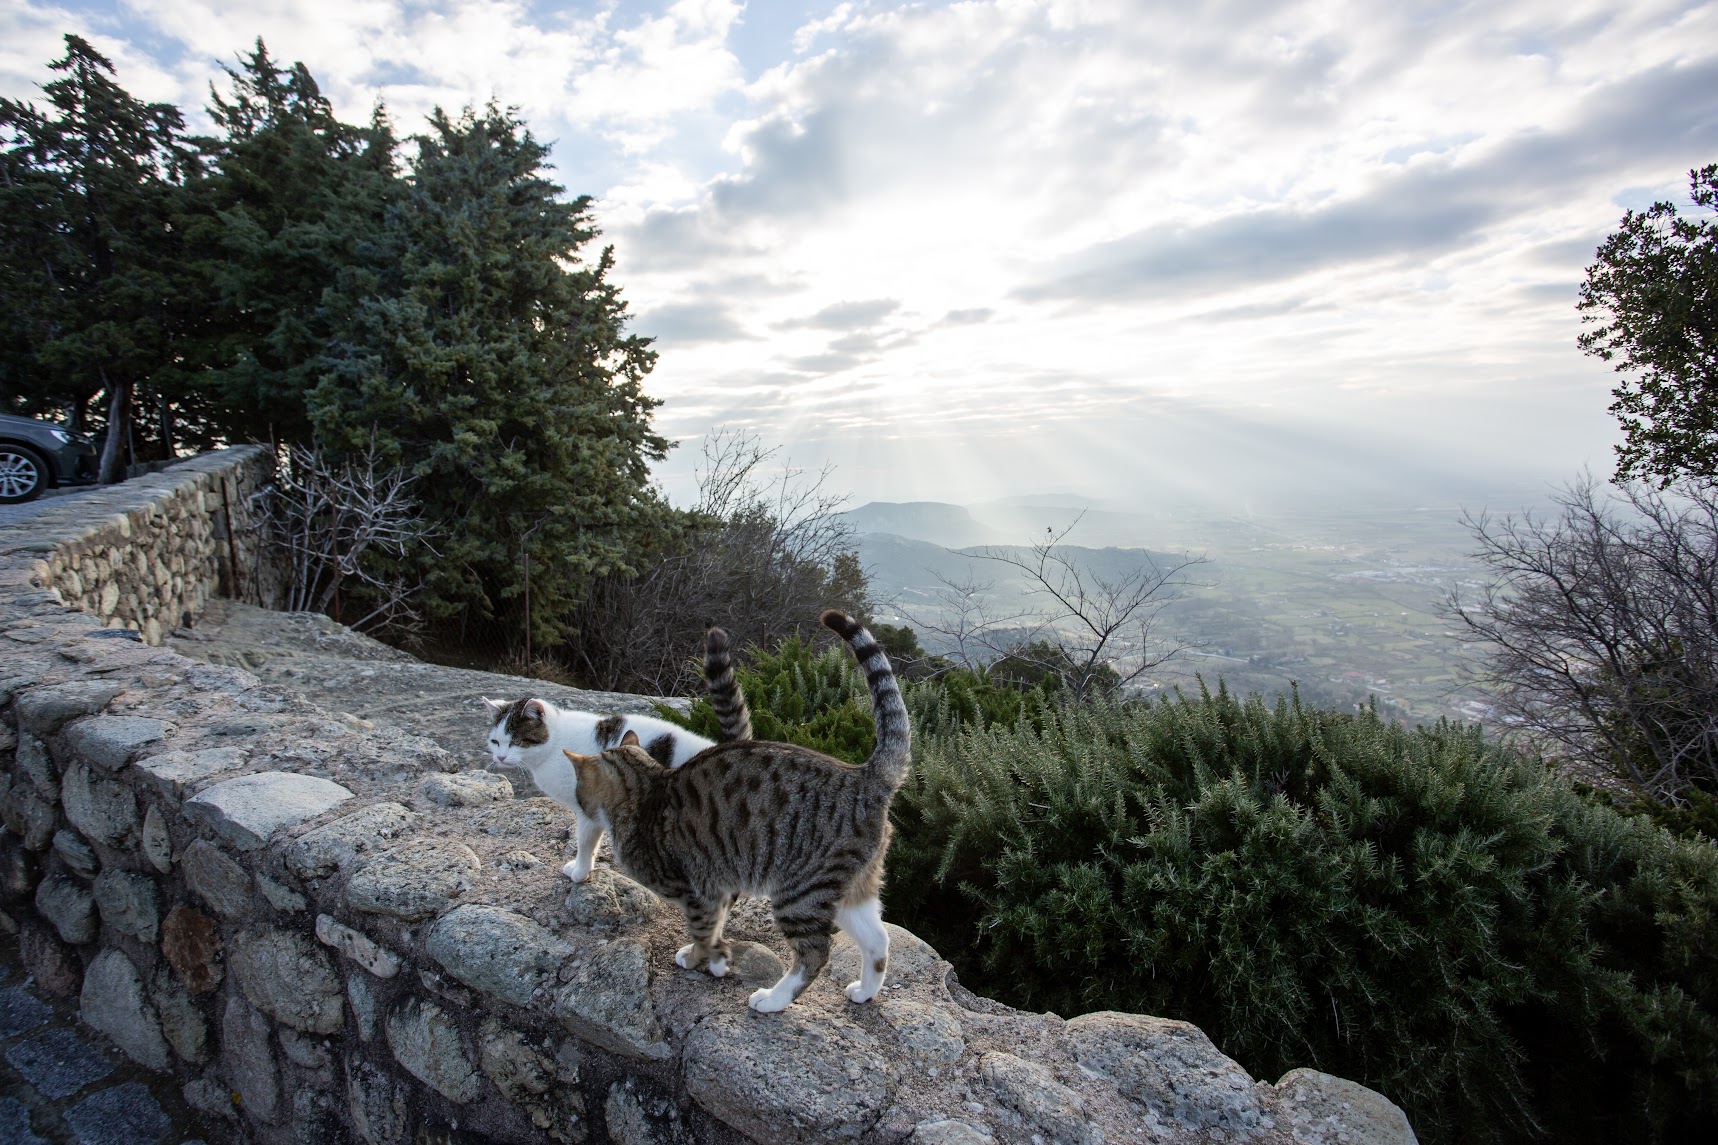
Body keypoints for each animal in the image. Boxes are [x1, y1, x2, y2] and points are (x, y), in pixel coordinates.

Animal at [563, 605, 913, 1010]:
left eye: (580, 790)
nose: (578, 802)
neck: (648, 787)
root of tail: (866, 776)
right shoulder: (719, 887)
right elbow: (714, 930)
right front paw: (713, 959)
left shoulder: (700, 891)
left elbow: (704, 933)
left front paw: (704, 960)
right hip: (850, 889)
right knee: (878, 939)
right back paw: (865, 991)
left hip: (800, 891)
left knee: (815, 953)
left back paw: (774, 999)